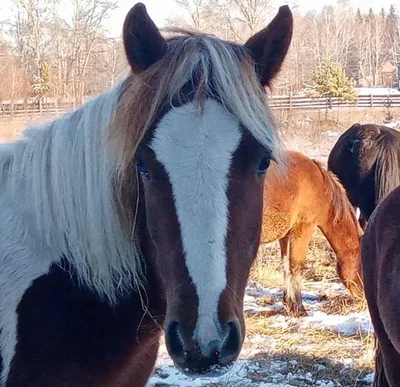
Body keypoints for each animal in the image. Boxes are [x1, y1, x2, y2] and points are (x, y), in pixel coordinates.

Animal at [260, 150, 364, 316]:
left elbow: (285, 265)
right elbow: (296, 266)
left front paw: (287, 303)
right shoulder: (303, 229)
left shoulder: (286, 235)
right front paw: (299, 308)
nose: (364, 297)